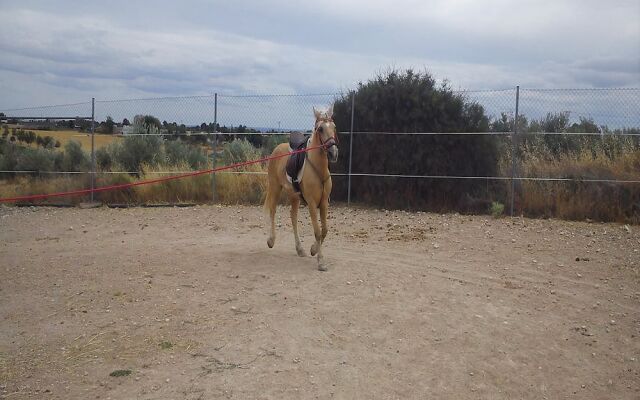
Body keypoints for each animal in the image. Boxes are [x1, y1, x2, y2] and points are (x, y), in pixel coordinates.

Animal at [264, 105, 340, 272]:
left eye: (334, 127)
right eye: (320, 129)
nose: (333, 153)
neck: (318, 168)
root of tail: (277, 149)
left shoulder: (324, 203)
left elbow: (324, 231)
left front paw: (313, 250)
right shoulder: (311, 203)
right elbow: (317, 231)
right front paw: (320, 262)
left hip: (294, 196)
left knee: (293, 218)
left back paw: (299, 249)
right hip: (275, 187)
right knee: (272, 210)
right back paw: (271, 240)